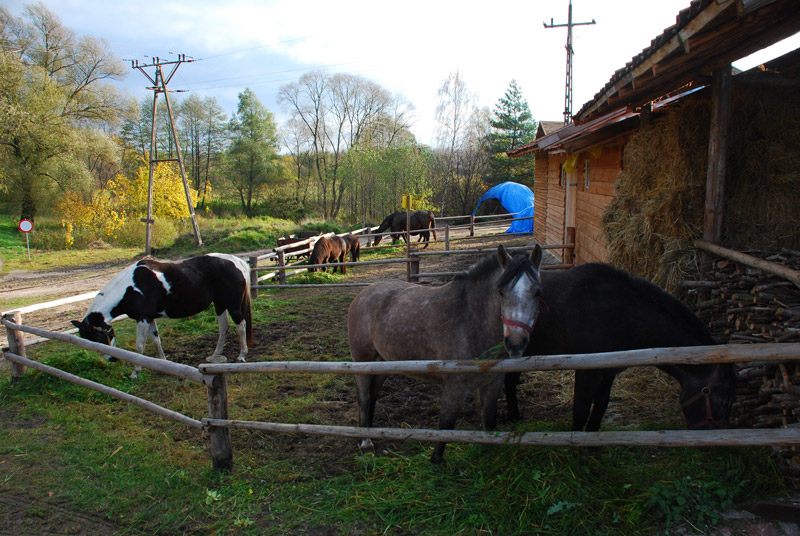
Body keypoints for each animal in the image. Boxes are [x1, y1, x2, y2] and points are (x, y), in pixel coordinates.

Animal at [72, 253, 253, 378]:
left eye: (99, 337)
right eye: (88, 340)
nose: (112, 359)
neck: (131, 287)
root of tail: (237, 262)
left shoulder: (142, 319)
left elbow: (140, 346)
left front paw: (135, 372)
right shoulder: (149, 318)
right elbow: (156, 340)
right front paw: (163, 363)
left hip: (232, 305)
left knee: (241, 325)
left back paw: (242, 356)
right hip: (219, 304)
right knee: (224, 327)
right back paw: (216, 355)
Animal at [348, 245, 544, 462]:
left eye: (537, 292)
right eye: (500, 292)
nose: (515, 342)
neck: (471, 320)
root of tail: (363, 293)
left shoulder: (492, 384)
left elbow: (489, 421)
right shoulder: (455, 385)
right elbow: (446, 424)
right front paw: (436, 460)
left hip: (382, 364)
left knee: (372, 395)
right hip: (363, 361)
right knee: (364, 397)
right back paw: (366, 442)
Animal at [506, 262, 736, 434]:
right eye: (725, 403)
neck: (622, 312)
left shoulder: (608, 372)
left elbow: (600, 407)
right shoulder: (586, 371)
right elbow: (580, 411)